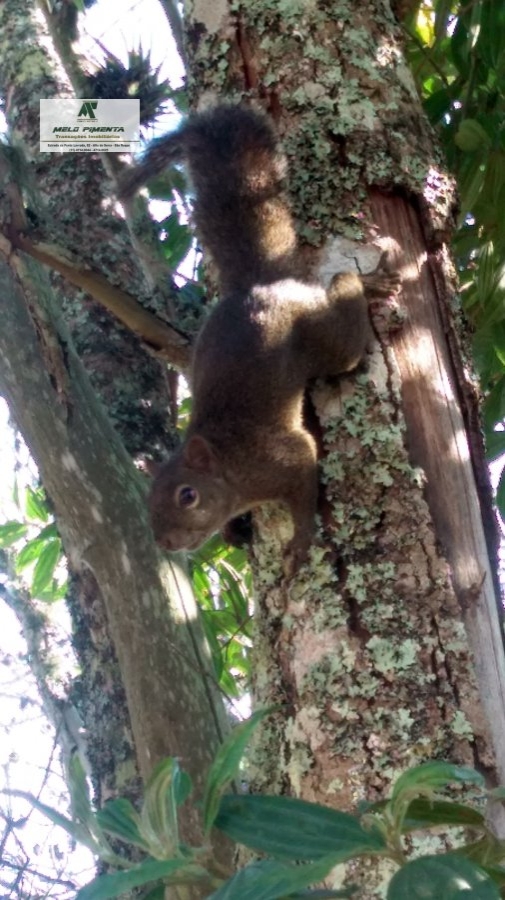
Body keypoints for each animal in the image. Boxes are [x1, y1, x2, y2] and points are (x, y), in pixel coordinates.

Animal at [120, 103, 400, 576]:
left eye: (188, 495)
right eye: (148, 502)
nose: (167, 542)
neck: (229, 468)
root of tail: (259, 285)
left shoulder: (279, 458)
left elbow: (304, 478)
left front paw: (302, 542)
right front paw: (235, 531)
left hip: (322, 337)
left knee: (342, 300)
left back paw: (364, 281)